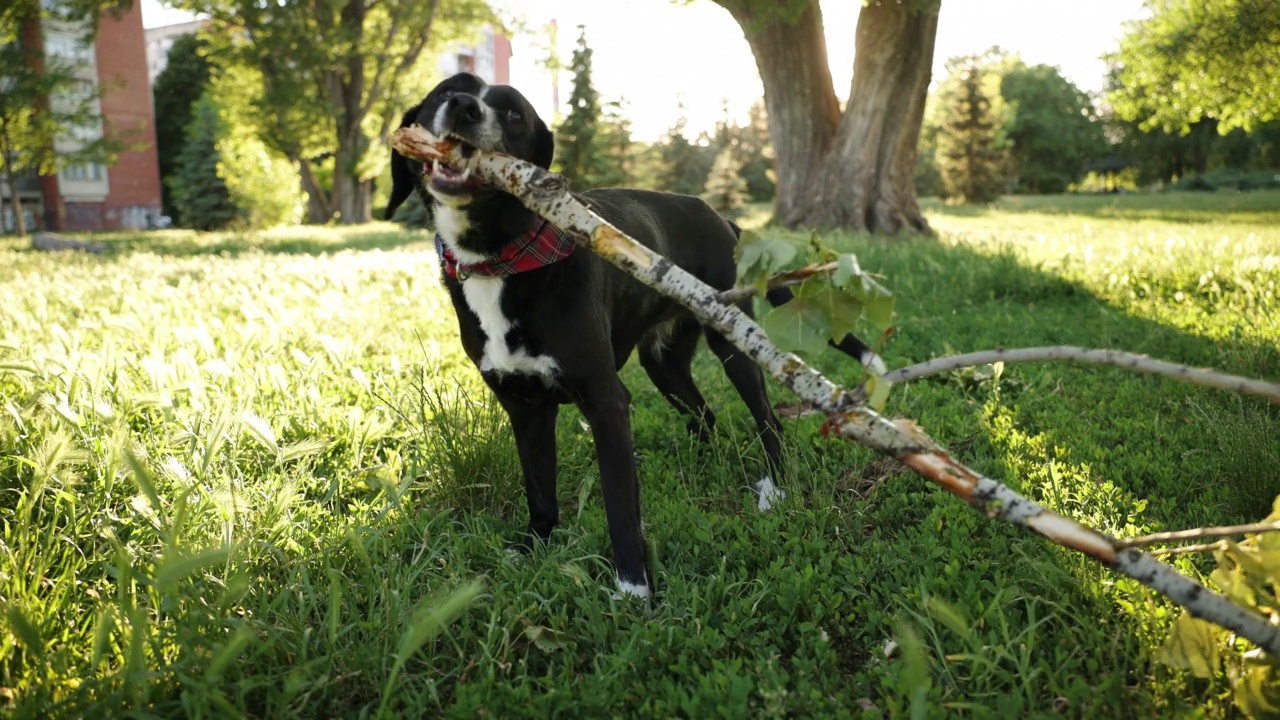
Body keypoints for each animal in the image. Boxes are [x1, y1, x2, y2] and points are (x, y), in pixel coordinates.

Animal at [381, 71, 880, 599]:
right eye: (444, 90)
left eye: (514, 114)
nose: (462, 107)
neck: (502, 258)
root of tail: (722, 217)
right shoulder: (523, 406)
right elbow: (539, 489)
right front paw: (534, 544)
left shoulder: (606, 402)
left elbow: (620, 506)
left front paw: (632, 588)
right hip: (663, 362)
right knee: (704, 415)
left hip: (732, 344)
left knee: (768, 421)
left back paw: (775, 488)